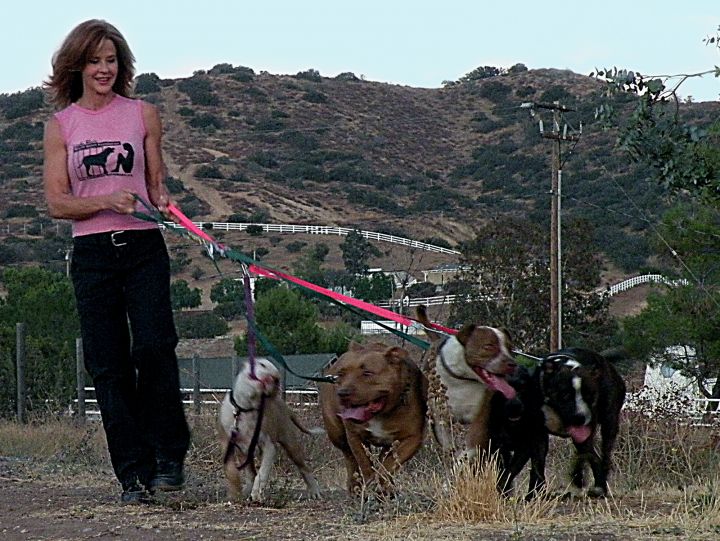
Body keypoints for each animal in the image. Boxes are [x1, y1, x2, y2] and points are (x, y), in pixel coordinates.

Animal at [217, 356, 324, 500]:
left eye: (278, 378)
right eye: (262, 364)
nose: (275, 378)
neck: (246, 408)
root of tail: (285, 406)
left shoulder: (269, 446)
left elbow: (262, 472)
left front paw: (257, 492)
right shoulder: (227, 444)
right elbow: (231, 470)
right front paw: (235, 493)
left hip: (291, 444)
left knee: (303, 467)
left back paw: (314, 490)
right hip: (245, 453)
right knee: (250, 473)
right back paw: (246, 490)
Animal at [316, 344, 428, 492]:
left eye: (367, 373)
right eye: (341, 374)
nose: (342, 393)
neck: (381, 414)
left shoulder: (412, 439)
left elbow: (389, 464)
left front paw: (382, 483)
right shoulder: (355, 436)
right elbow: (364, 462)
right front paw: (371, 482)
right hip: (336, 433)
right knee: (349, 457)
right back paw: (355, 486)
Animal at [416, 306, 516, 458]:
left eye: (510, 348)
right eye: (488, 346)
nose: (512, 364)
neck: (462, 378)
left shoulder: (481, 416)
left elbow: (473, 443)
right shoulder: (440, 418)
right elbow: (448, 444)